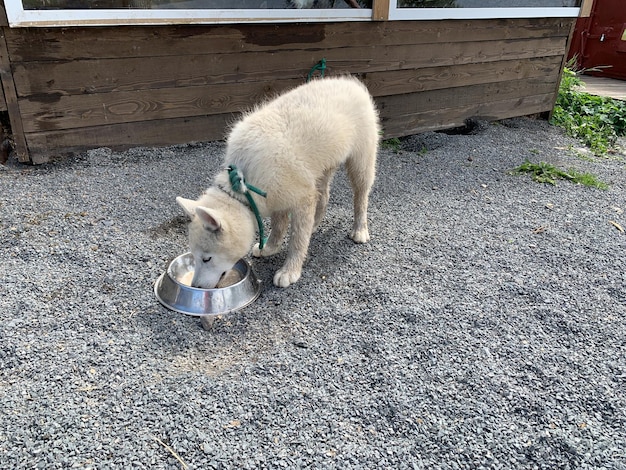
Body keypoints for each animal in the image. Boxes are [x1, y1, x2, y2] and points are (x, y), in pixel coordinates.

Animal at [177, 75, 380, 288]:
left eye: (207, 258)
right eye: (195, 257)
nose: (195, 287)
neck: (243, 183)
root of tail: (349, 81)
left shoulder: (301, 198)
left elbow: (297, 239)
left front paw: (290, 271)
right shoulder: (276, 197)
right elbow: (279, 226)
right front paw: (270, 248)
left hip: (361, 162)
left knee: (361, 197)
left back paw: (360, 230)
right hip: (321, 168)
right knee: (324, 195)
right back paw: (315, 224)